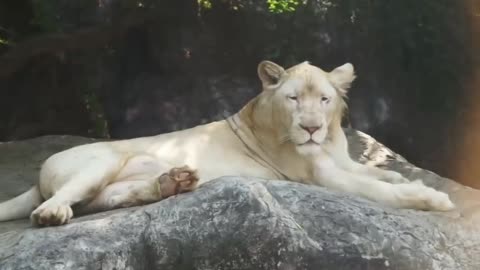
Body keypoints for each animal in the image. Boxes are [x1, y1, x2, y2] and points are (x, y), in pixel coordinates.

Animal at [0, 60, 454, 226]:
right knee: (59, 201)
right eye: (294, 99)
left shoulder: (340, 161)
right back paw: (52, 213)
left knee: (101, 202)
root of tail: (39, 176)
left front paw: (403, 178)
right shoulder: (319, 175)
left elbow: (379, 173)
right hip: (99, 162)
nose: (310, 128)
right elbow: (376, 189)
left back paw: (173, 182)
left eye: (324, 99)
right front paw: (431, 198)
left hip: (113, 185)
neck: (326, 143)